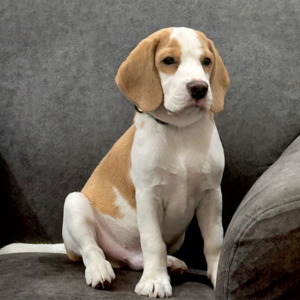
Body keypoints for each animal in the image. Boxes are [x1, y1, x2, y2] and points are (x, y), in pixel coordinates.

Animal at [0, 27, 230, 298]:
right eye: (168, 61)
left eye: (206, 61)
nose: (199, 88)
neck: (180, 131)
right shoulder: (148, 196)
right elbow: (153, 242)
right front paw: (155, 280)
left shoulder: (212, 195)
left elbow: (214, 241)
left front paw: (218, 275)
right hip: (75, 204)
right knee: (92, 250)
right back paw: (100, 270)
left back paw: (171, 264)